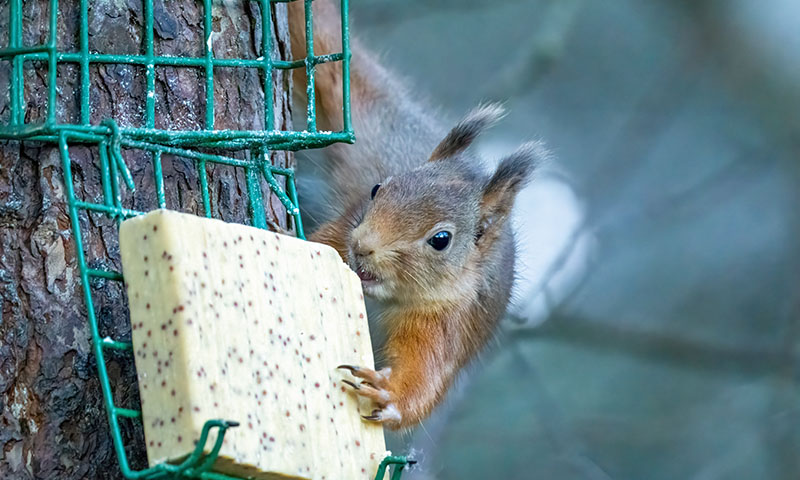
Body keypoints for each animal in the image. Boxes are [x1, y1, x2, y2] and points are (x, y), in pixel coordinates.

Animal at [286, 0, 545, 430]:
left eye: (441, 240)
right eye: (377, 189)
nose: (362, 247)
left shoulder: (449, 322)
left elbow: (425, 378)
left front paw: (389, 394)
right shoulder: (346, 226)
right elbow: (323, 242)